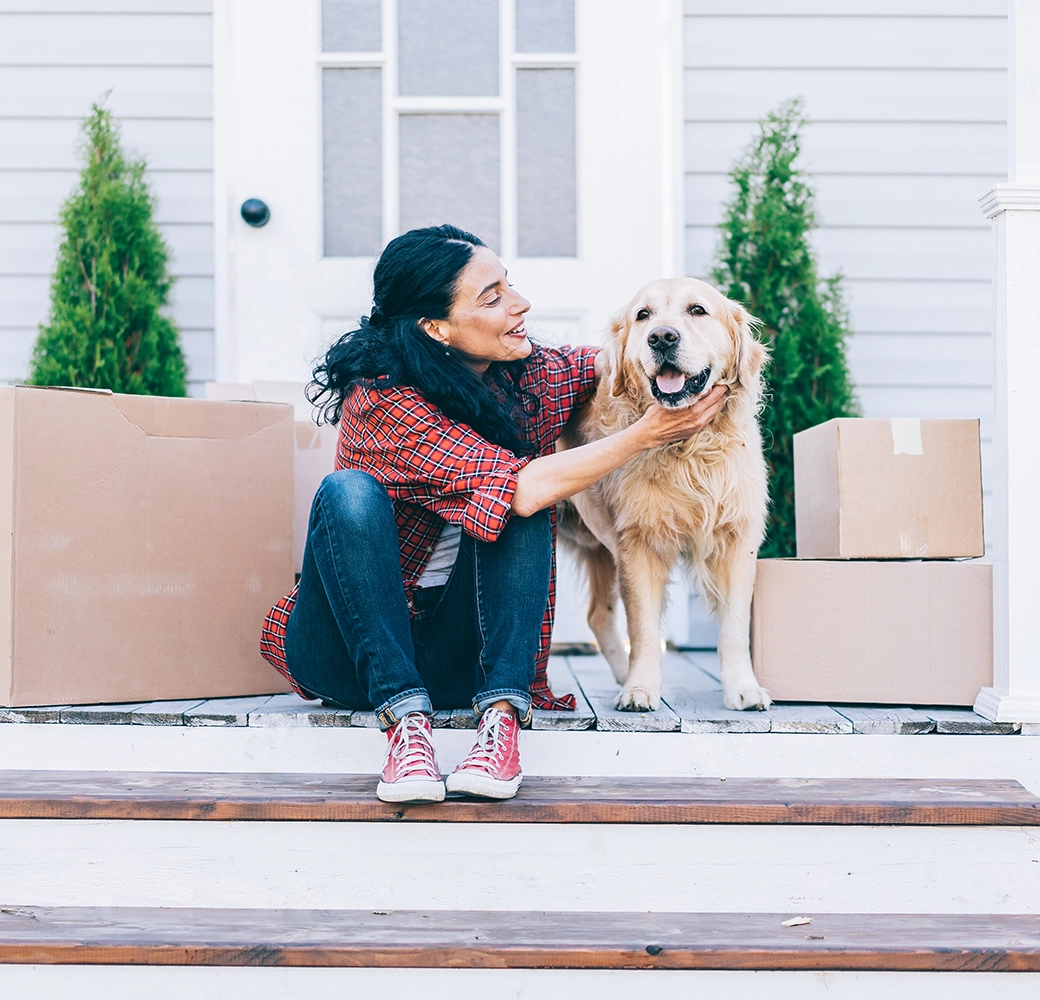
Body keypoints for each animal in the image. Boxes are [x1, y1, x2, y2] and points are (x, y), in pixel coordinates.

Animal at [561, 274, 773, 711]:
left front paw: (743, 688)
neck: (689, 450)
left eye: (698, 310)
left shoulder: (738, 540)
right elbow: (643, 629)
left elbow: (735, 626)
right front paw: (640, 689)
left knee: (598, 615)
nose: (661, 337)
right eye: (643, 315)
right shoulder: (636, 544)